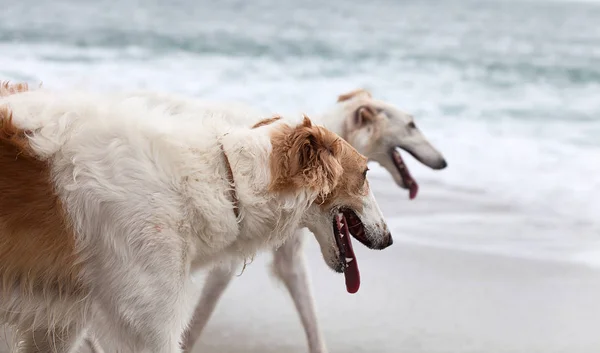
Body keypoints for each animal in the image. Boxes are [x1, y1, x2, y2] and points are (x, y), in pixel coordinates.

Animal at [79, 88, 446, 352]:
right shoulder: (225, 263)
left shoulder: (290, 258)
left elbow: (311, 320)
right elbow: (194, 322)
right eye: (412, 124)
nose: (443, 162)